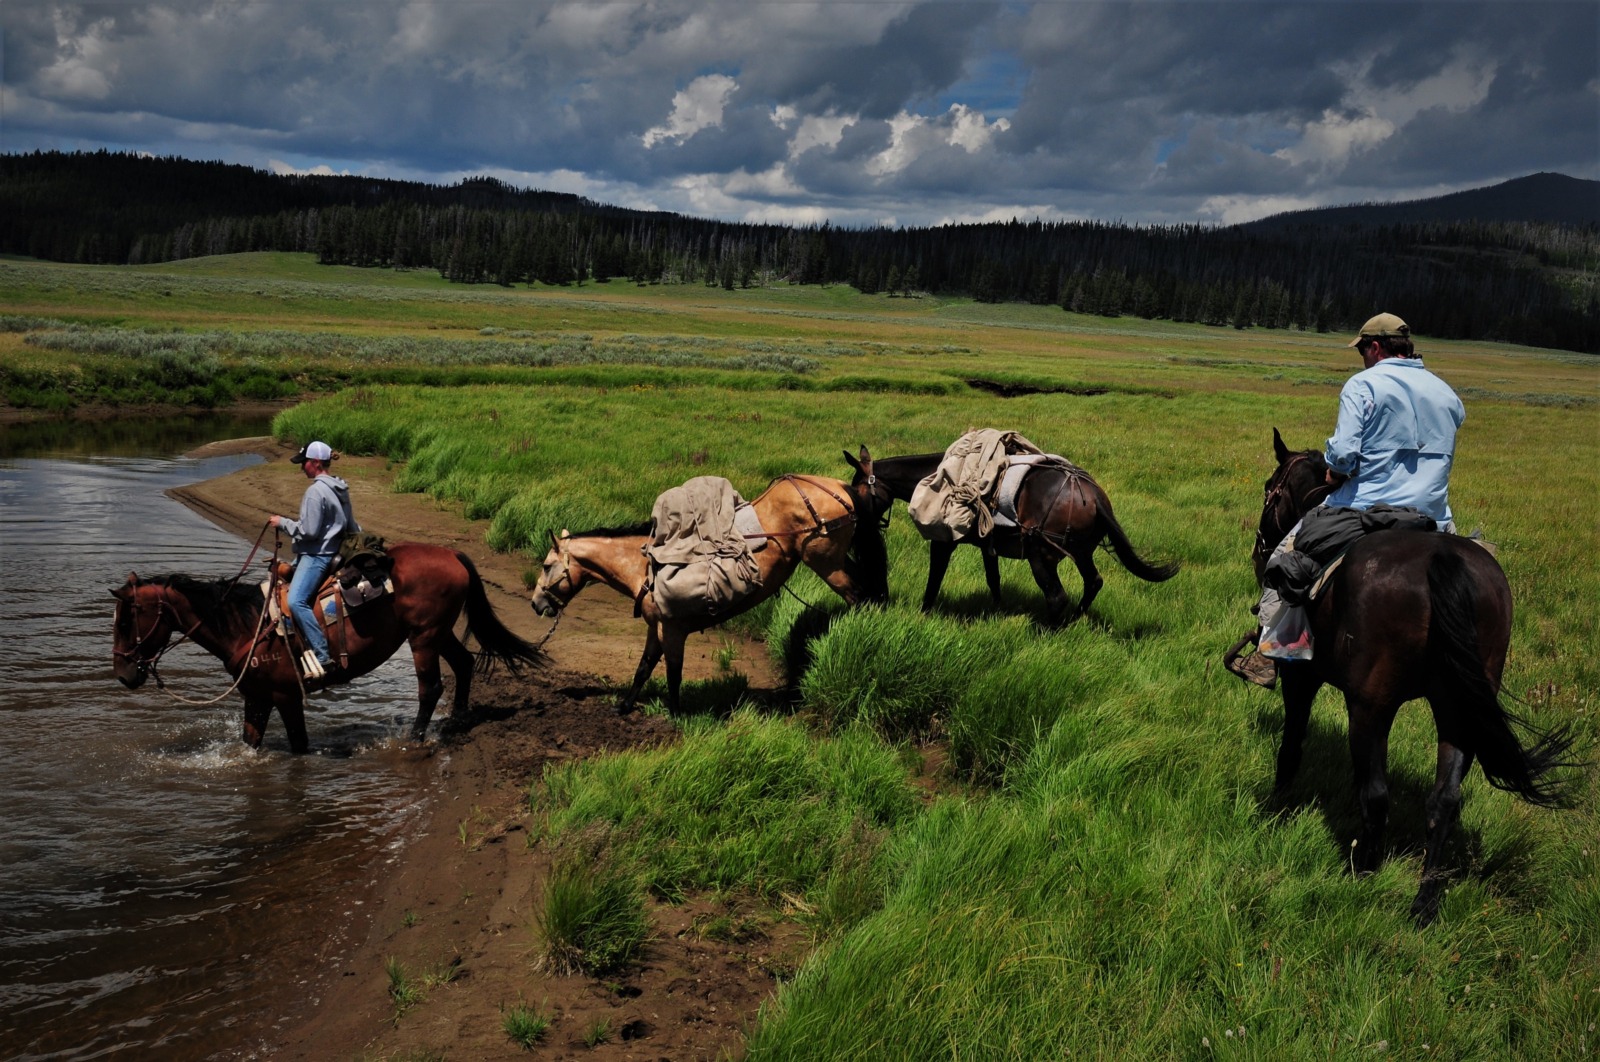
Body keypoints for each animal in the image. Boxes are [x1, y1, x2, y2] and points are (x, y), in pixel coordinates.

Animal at [111, 543, 544, 751]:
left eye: (127, 620)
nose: (123, 673)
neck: (249, 626)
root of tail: (449, 552)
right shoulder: (257, 697)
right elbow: (251, 744)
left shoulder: (286, 696)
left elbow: (300, 745)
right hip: (438, 632)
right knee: (465, 663)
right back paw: (456, 720)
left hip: (423, 638)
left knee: (431, 687)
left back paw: (416, 738)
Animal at [534, 457, 889, 713]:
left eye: (547, 566)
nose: (537, 604)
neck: (646, 565)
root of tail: (838, 488)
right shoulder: (655, 627)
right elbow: (644, 668)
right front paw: (623, 707)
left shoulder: (672, 630)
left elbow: (673, 674)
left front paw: (676, 716)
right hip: (838, 560)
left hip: (827, 563)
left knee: (859, 596)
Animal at [851, 444, 1177, 623]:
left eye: (858, 489)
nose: (858, 524)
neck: (938, 477)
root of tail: (1093, 496)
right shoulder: (988, 545)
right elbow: (993, 579)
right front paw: (996, 610)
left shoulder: (943, 543)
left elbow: (934, 581)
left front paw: (923, 614)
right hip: (1082, 552)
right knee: (1093, 582)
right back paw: (1074, 620)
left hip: (1041, 556)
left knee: (1057, 597)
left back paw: (1047, 635)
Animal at [1248, 428, 1574, 921]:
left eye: (1271, 488)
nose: (1258, 549)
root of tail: (1444, 562)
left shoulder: (1299, 678)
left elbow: (1292, 745)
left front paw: (1276, 808)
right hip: (1459, 707)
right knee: (1445, 800)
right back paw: (1424, 901)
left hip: (1372, 707)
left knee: (1377, 794)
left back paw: (1363, 873)